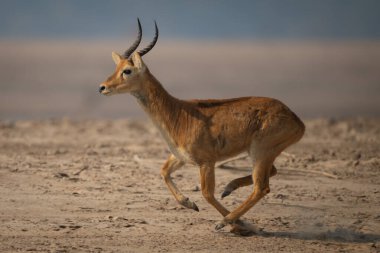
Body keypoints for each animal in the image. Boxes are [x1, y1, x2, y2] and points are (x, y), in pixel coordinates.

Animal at [98, 19, 306, 235]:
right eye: (117, 66)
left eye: (127, 70)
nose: (102, 87)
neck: (179, 113)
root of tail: (297, 120)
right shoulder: (181, 157)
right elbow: (164, 172)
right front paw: (190, 204)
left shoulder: (206, 162)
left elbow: (207, 194)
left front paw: (237, 225)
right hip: (261, 154)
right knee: (272, 173)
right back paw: (229, 189)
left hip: (261, 152)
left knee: (261, 187)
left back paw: (227, 219)